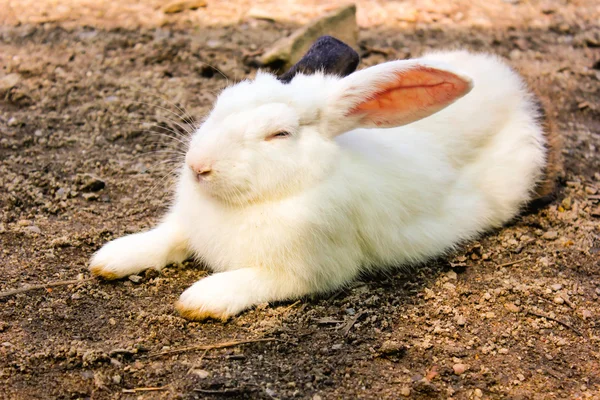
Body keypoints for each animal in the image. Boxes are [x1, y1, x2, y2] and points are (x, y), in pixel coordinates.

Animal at [89, 47, 556, 322]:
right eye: (219, 105)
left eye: (278, 135)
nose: (198, 167)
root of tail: (512, 86)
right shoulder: (185, 226)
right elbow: (164, 238)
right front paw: (111, 258)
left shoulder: (308, 270)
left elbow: (251, 281)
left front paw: (201, 299)